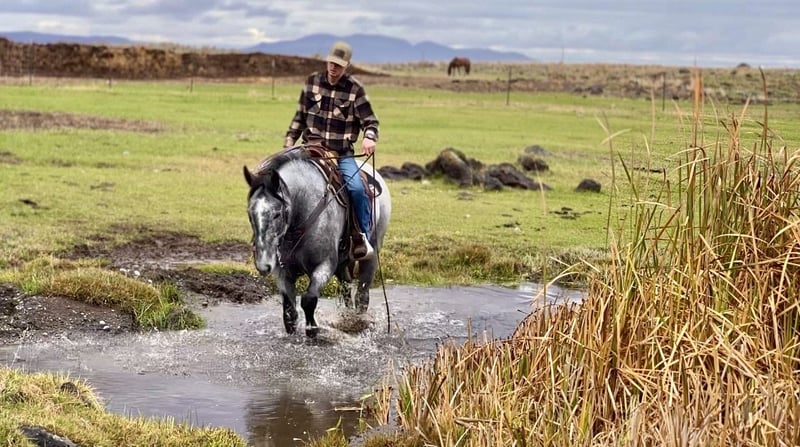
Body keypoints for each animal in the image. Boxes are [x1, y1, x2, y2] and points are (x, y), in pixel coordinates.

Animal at [243, 147, 391, 338]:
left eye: (276, 214)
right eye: (250, 213)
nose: (263, 265)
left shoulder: (324, 265)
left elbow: (308, 300)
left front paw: (312, 329)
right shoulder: (283, 271)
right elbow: (289, 311)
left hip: (371, 255)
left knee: (362, 294)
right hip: (342, 264)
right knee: (346, 290)